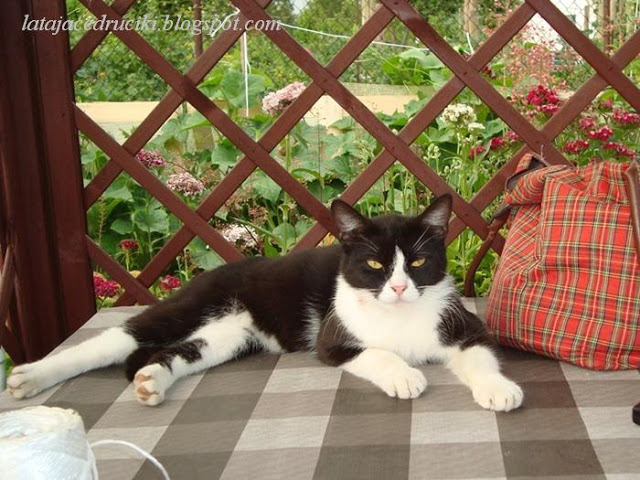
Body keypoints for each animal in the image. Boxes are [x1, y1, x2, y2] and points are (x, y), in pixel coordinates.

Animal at [7, 195, 523, 411]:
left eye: (417, 261)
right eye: (375, 265)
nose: (398, 288)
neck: (399, 315)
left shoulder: (461, 324)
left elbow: (479, 353)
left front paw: (498, 389)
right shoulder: (333, 339)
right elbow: (375, 352)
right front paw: (403, 375)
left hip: (232, 334)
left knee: (183, 350)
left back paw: (152, 380)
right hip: (193, 302)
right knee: (118, 338)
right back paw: (32, 376)